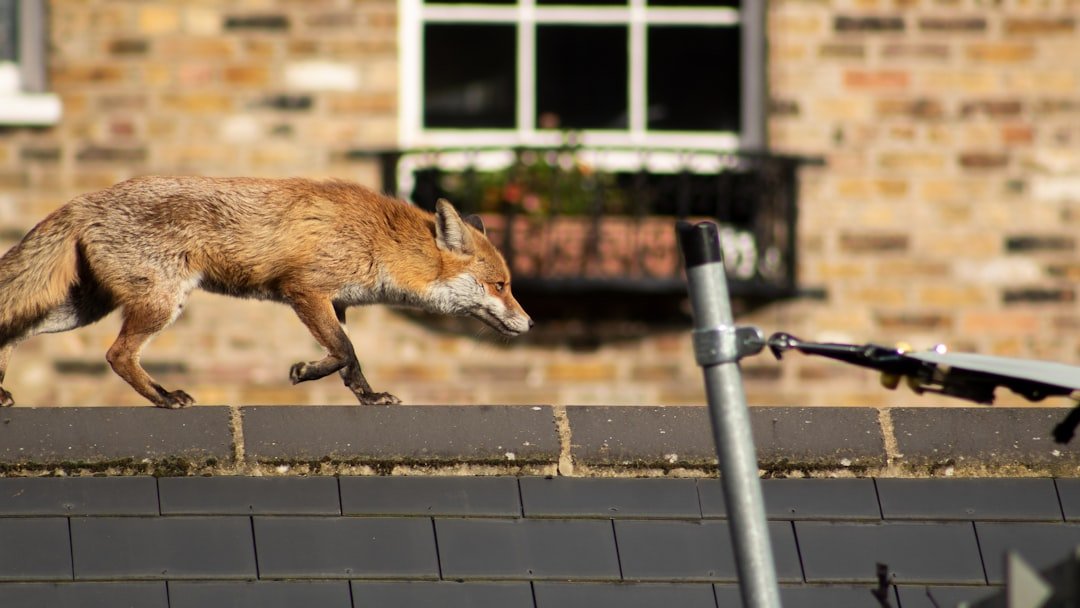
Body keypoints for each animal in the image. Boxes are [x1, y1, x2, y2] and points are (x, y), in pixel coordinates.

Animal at [0, 176, 532, 408]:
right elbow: (345, 351)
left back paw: (3, 393)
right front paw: (310, 373)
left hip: (82, 307)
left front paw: (363, 394)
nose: (529, 323)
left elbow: (348, 359)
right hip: (159, 303)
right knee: (117, 355)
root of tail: (82, 200)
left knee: (12, 331)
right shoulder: (305, 290)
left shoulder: (335, 302)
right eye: (501, 285)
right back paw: (164, 397)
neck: (380, 241)